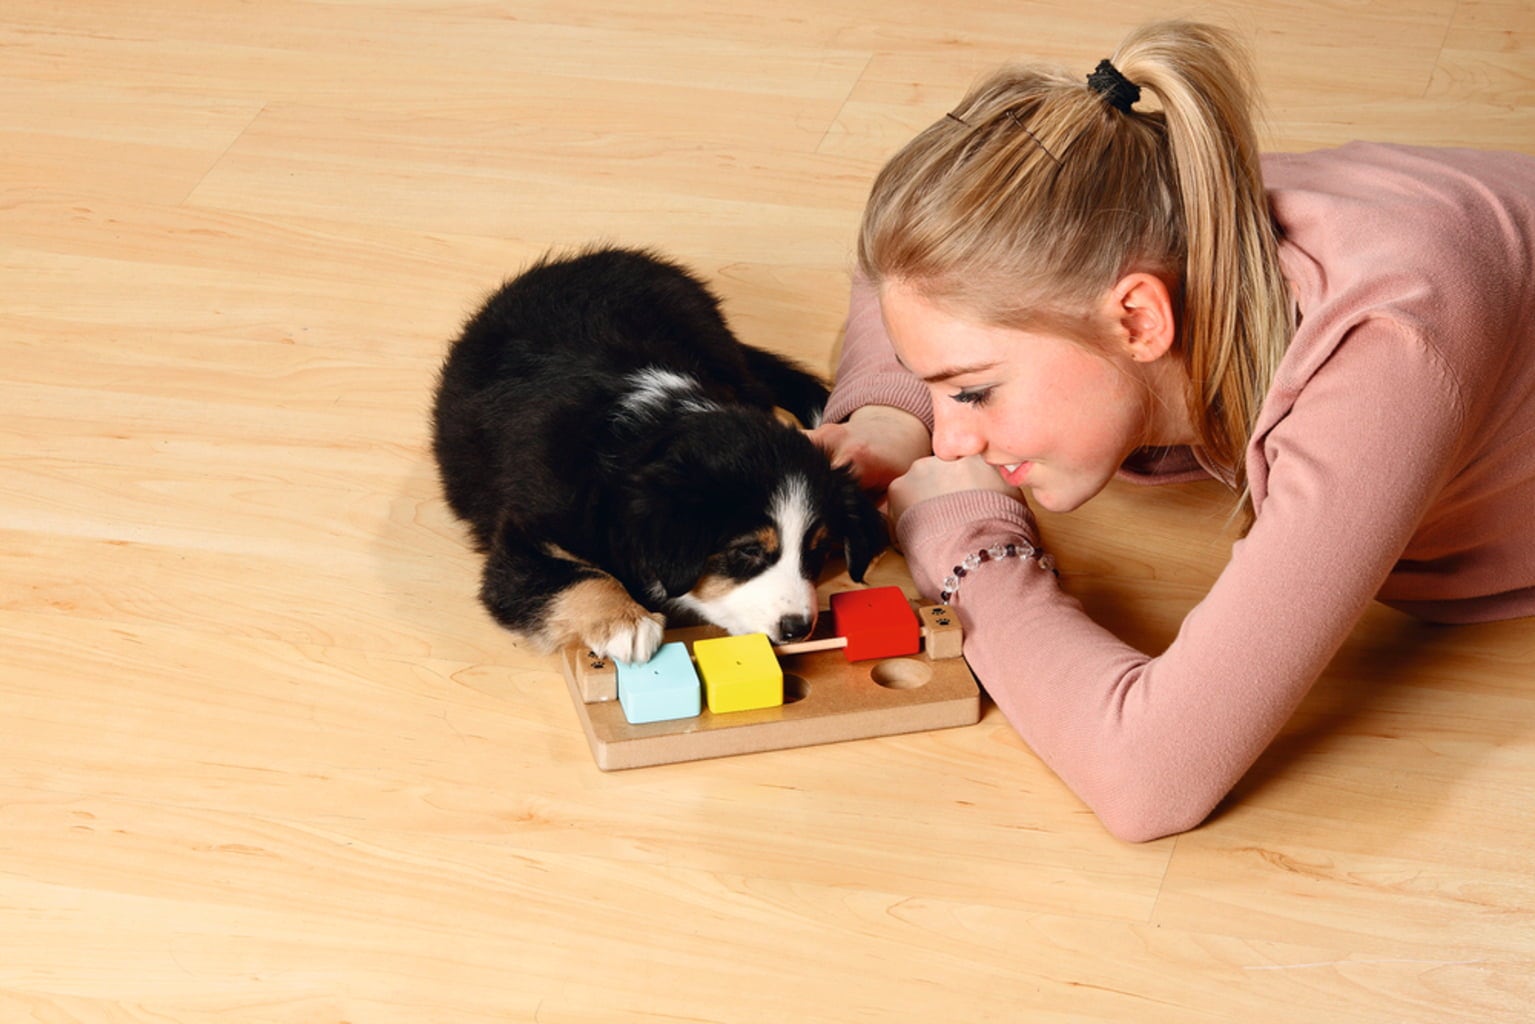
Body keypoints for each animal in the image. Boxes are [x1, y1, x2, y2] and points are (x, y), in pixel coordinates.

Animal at [431, 246, 888, 665]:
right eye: (747, 551)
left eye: (818, 550)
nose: (797, 628)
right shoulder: (525, 539)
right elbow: (577, 574)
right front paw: (626, 622)